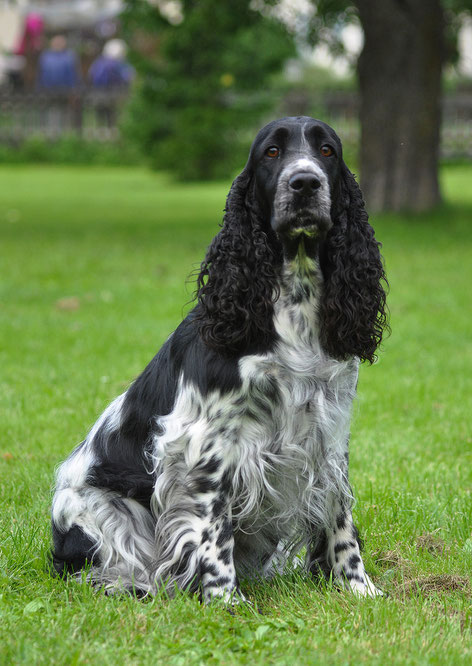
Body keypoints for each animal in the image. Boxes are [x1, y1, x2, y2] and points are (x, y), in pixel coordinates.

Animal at [50, 116, 388, 600]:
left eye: (327, 151)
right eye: (271, 152)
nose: (305, 182)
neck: (294, 300)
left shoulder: (329, 430)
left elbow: (339, 510)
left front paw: (358, 587)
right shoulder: (203, 440)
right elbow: (212, 523)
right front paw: (224, 597)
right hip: (102, 511)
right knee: (111, 566)